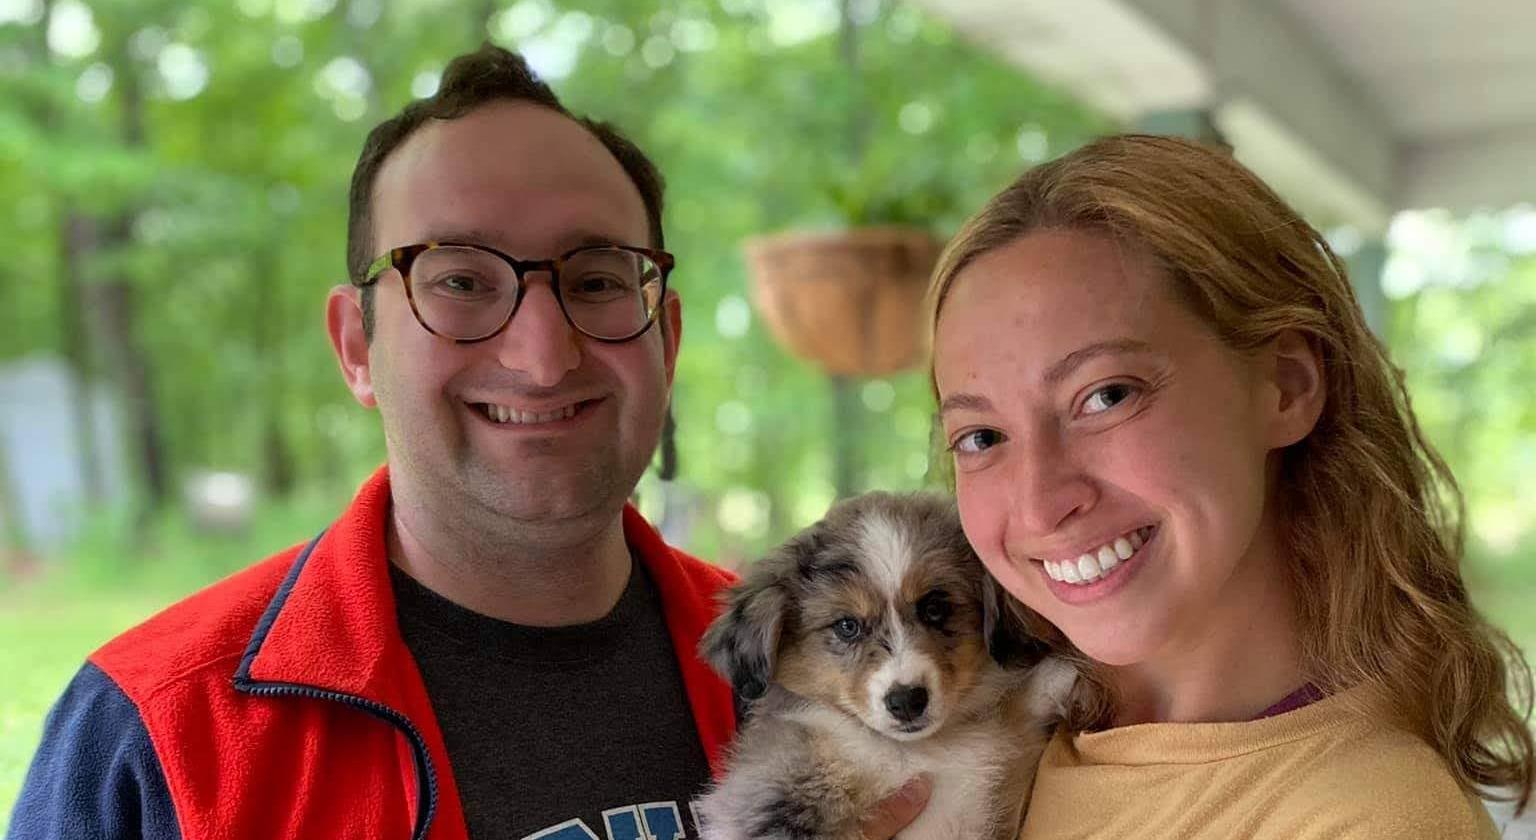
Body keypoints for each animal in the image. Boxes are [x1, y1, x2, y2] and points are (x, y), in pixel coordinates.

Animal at [696, 491, 1077, 840]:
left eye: (935, 607)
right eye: (847, 626)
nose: (907, 701)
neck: (909, 752)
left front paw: (1056, 676)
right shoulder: (774, 803)